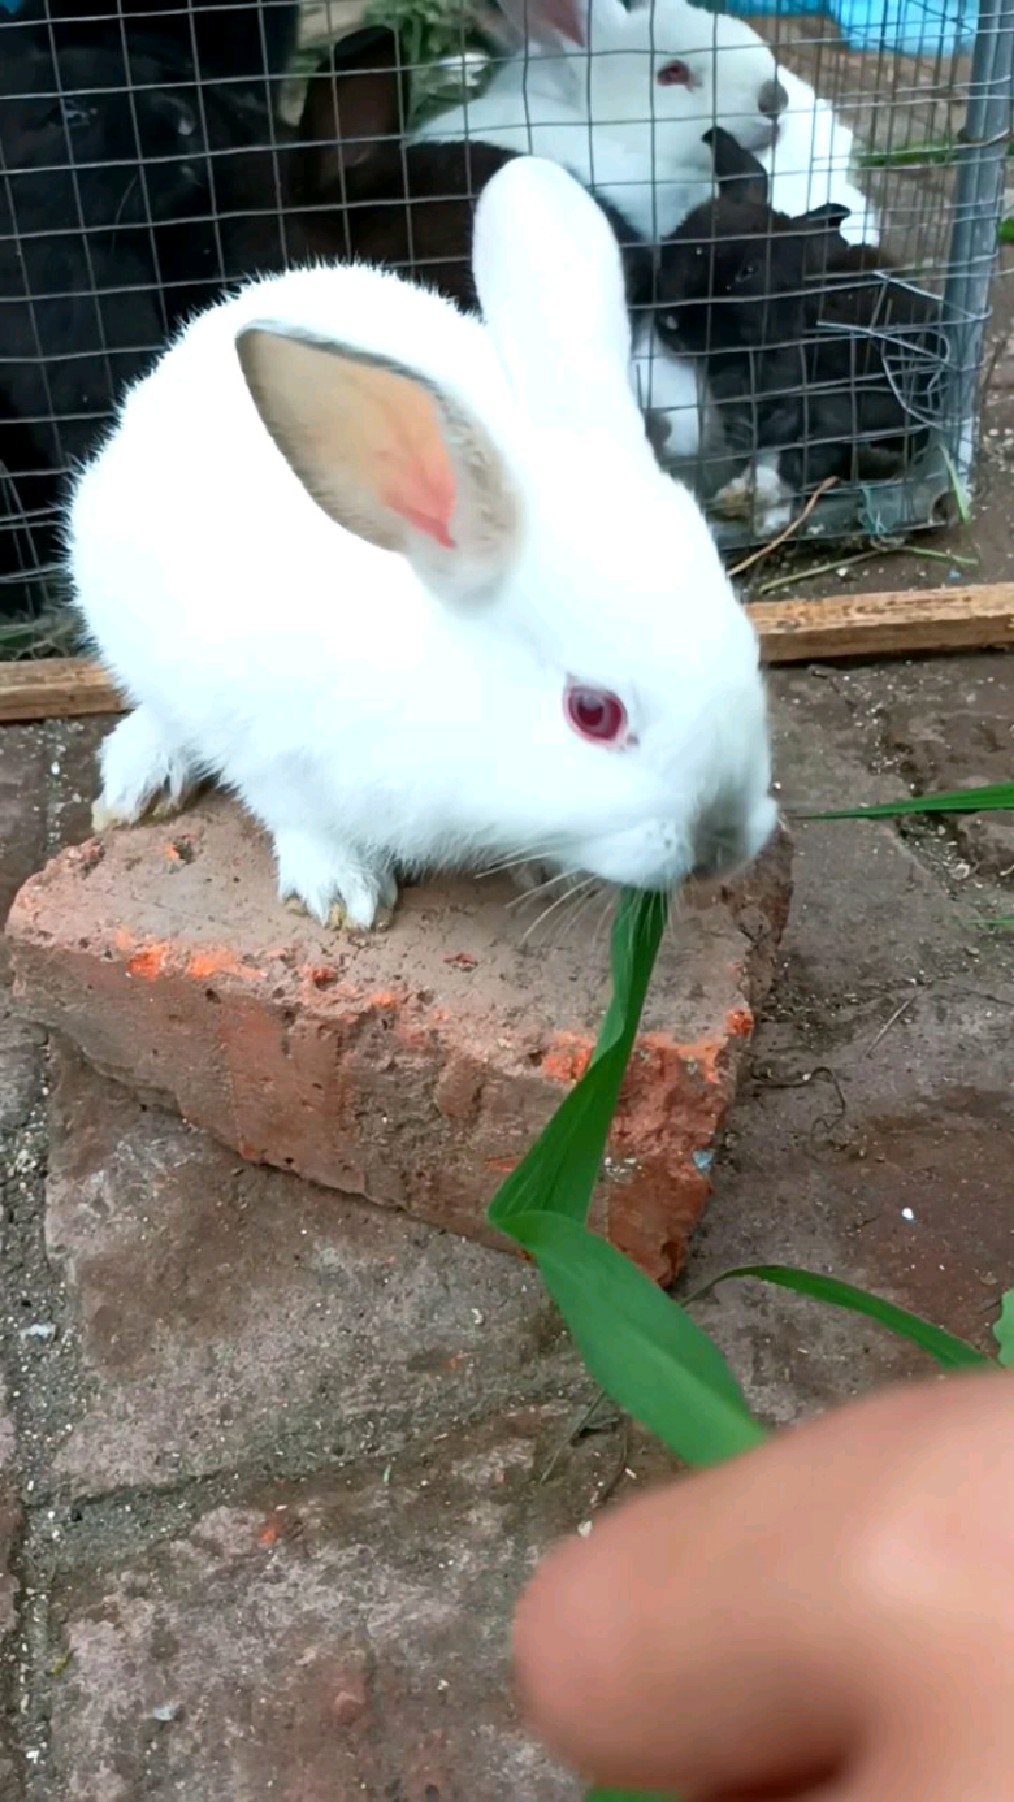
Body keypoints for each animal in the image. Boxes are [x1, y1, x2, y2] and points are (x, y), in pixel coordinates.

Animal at [69, 154, 778, 929]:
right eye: (592, 714)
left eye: (748, 641)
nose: (725, 843)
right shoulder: (265, 741)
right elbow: (297, 816)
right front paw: (343, 890)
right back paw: (144, 774)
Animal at [651, 126, 943, 529]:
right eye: (675, 238)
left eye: (747, 272)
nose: (670, 319)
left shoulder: (831, 407)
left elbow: (799, 460)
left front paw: (753, 504)